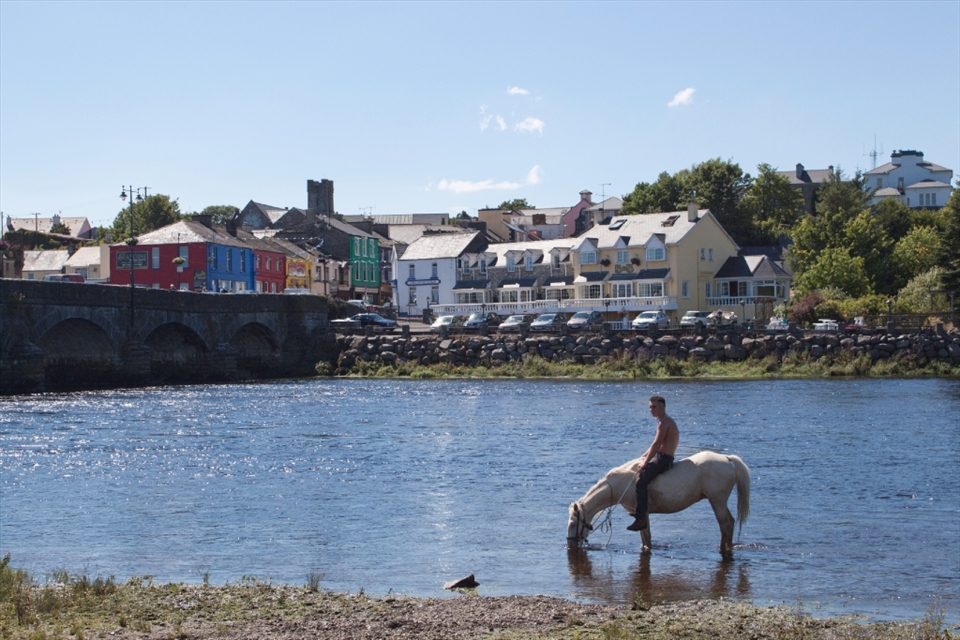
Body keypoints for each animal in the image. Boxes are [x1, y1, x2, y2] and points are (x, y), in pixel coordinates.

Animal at [566, 451, 750, 558]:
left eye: (573, 524)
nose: (570, 545)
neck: (623, 483)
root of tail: (726, 458)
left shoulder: (642, 514)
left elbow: (647, 538)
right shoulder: (640, 516)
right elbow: (644, 537)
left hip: (717, 500)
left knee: (725, 524)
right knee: (730, 522)